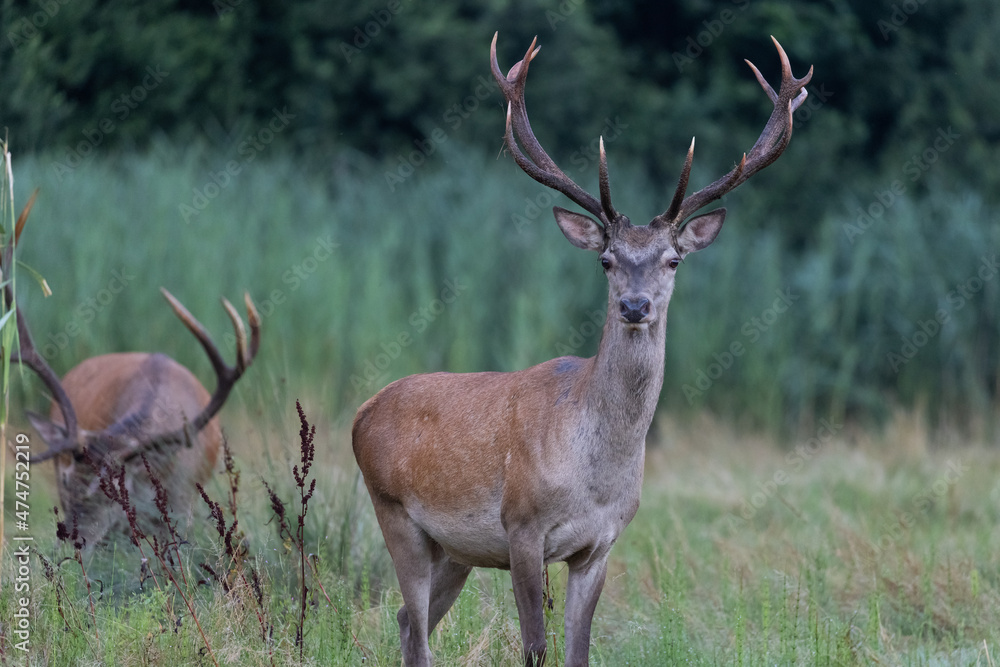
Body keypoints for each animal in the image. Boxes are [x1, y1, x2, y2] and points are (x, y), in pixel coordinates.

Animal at [352, 33, 812, 666]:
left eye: (674, 259)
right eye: (606, 260)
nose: (636, 306)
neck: (594, 473)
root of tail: (362, 412)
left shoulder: (601, 543)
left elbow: (579, 650)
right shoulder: (521, 527)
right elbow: (534, 646)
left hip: (456, 550)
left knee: (404, 620)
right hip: (394, 512)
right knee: (415, 627)